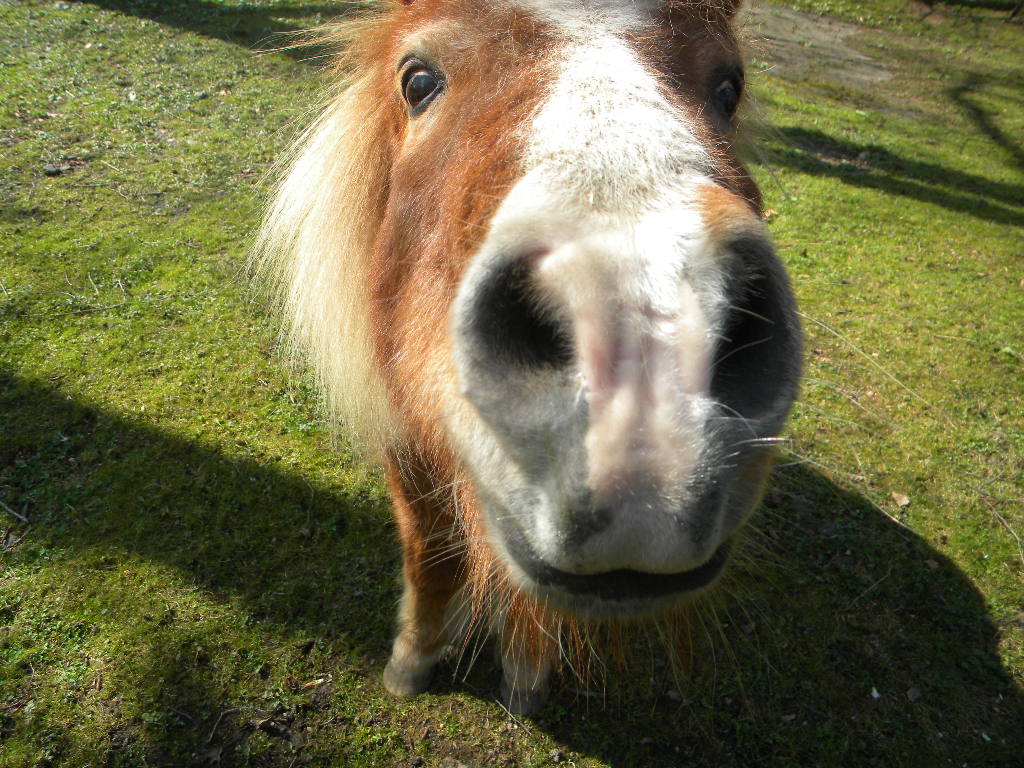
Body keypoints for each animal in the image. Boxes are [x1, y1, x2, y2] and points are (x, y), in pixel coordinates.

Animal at [256, 0, 798, 716]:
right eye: (418, 80)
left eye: (728, 88)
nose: (641, 352)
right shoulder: (408, 452)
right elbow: (432, 555)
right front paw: (412, 662)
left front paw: (523, 678)